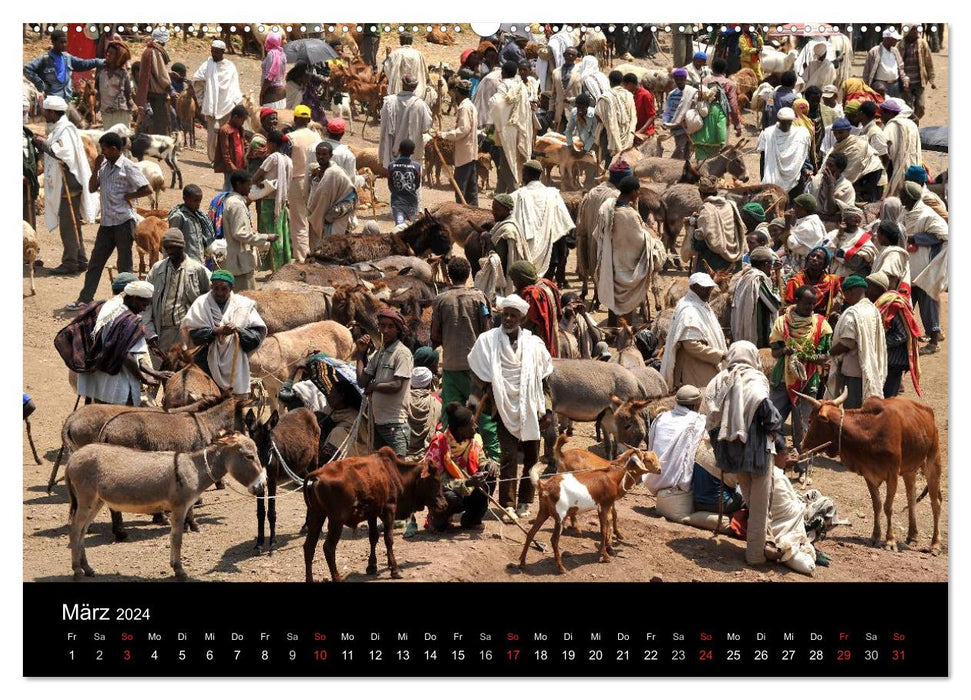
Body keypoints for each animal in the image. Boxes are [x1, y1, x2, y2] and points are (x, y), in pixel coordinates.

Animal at [302, 446, 446, 584]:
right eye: (435, 480)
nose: (444, 504)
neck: (394, 473)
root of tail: (317, 474)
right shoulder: (389, 509)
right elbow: (388, 539)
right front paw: (395, 569)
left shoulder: (372, 514)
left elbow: (373, 537)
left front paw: (372, 566)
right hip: (336, 521)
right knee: (328, 548)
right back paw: (337, 578)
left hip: (317, 515)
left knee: (309, 547)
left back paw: (309, 579)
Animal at [796, 386, 940, 556]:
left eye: (811, 420)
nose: (802, 444)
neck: (868, 431)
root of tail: (927, 412)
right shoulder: (869, 474)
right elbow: (877, 505)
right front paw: (875, 536)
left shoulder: (892, 474)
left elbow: (888, 507)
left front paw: (890, 540)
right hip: (909, 470)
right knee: (911, 498)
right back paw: (912, 535)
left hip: (933, 462)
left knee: (936, 503)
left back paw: (935, 544)